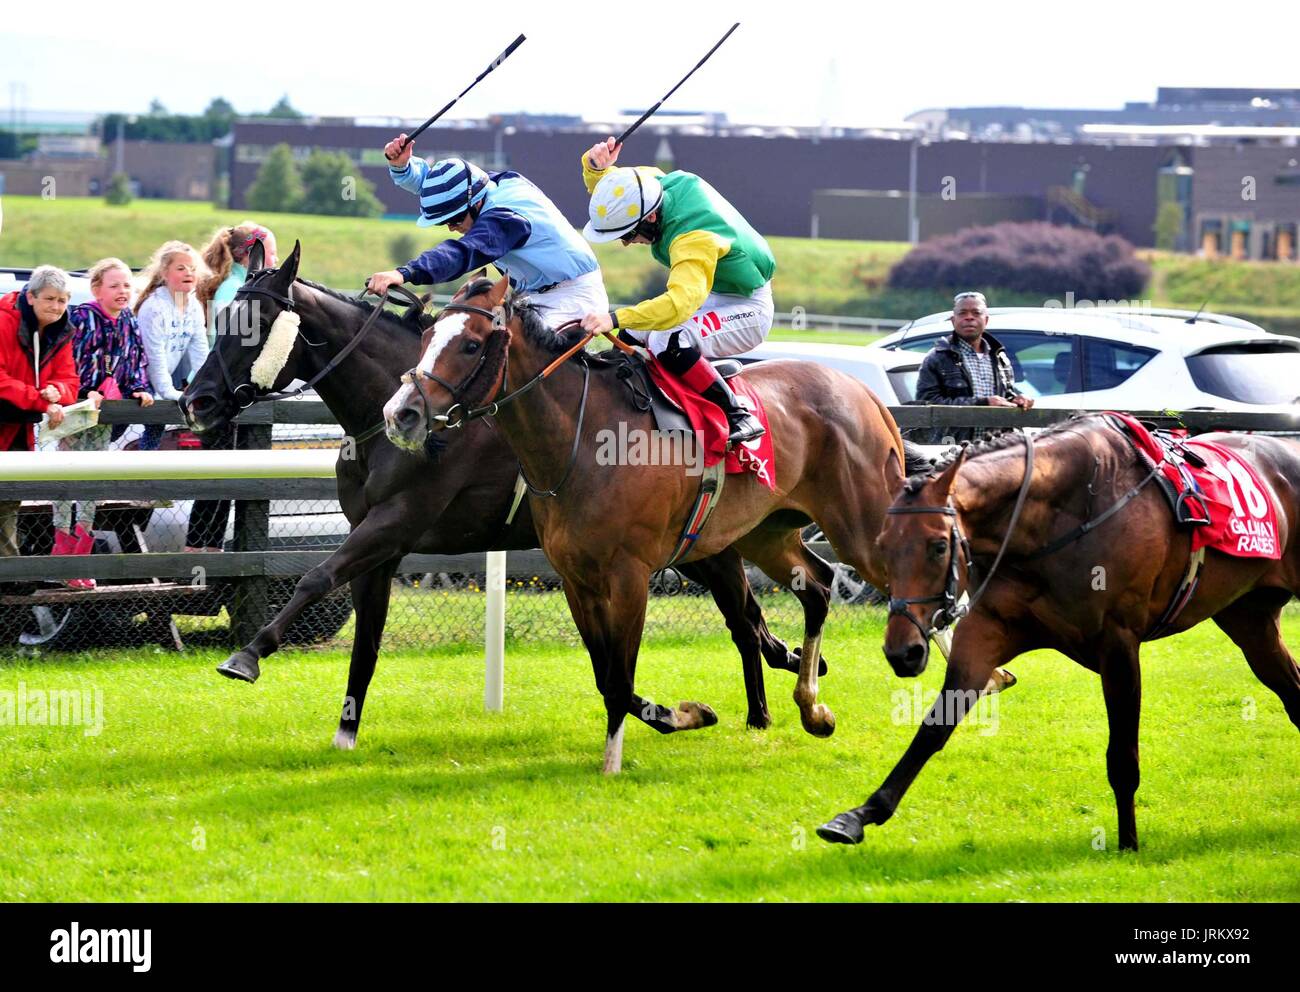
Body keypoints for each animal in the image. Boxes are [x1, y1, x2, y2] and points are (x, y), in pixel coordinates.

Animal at [180, 244, 821, 748]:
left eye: (254, 322)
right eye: (221, 316)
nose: (196, 400)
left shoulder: (397, 521)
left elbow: (315, 577)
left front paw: (246, 656)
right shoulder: (379, 543)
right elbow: (365, 641)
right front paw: (345, 731)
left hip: (704, 547)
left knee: (744, 620)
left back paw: (767, 704)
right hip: (692, 550)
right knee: (751, 619)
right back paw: (776, 688)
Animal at [379, 275, 920, 769]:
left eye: (470, 345)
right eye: (427, 338)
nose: (401, 414)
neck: (584, 440)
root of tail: (865, 394)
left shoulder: (630, 576)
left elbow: (621, 677)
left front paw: (616, 761)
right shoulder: (577, 580)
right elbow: (606, 676)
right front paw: (684, 715)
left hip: (858, 528)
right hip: (763, 535)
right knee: (818, 584)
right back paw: (812, 709)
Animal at [816, 418, 1300, 852]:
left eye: (938, 546)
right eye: (882, 545)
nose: (903, 652)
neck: (1057, 515)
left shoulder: (1118, 642)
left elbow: (1122, 754)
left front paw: (1127, 843)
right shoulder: (986, 630)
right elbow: (934, 728)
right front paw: (858, 815)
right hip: (1250, 619)